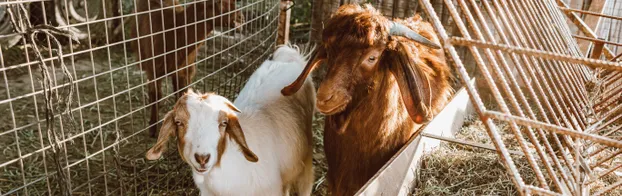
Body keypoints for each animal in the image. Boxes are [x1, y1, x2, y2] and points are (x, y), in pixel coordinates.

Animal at [131, 0, 244, 136]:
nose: (241, 17)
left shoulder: (184, 70)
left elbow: (182, 94)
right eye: (222, 3)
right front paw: (153, 128)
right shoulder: (153, 70)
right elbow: (156, 96)